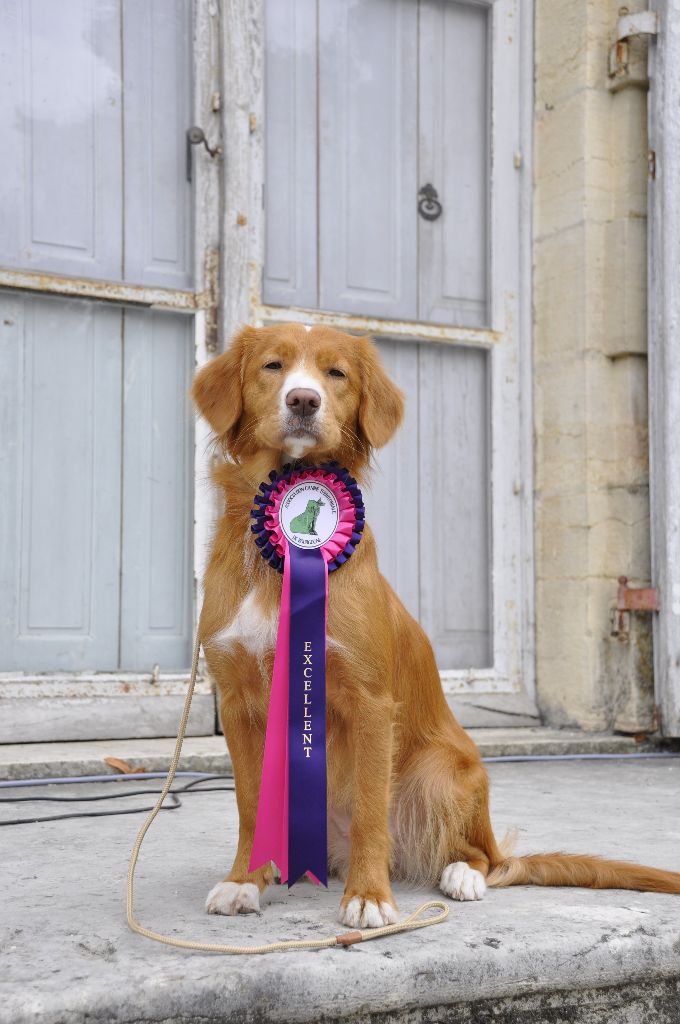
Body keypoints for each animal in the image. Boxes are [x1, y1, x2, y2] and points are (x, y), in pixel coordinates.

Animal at [189, 321, 680, 929]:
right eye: (273, 366)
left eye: (336, 373)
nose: (303, 400)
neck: (279, 559)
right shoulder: (237, 702)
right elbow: (249, 806)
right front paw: (243, 881)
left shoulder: (371, 702)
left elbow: (370, 808)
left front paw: (369, 895)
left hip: (445, 770)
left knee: (483, 856)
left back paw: (461, 874)